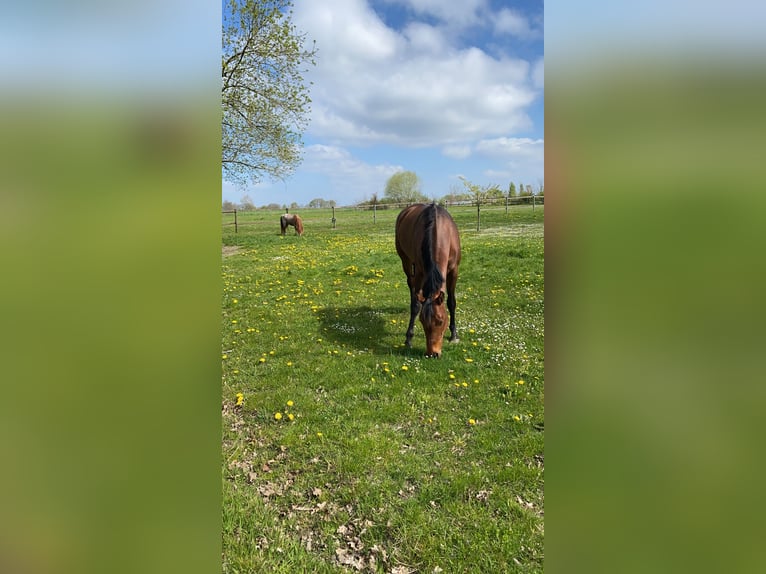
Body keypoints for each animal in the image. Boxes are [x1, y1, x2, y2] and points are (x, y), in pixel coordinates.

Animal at [395, 202, 461, 358]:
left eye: (441, 321)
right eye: (422, 321)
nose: (432, 353)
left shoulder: (454, 270)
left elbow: (451, 302)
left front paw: (454, 335)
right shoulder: (420, 271)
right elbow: (416, 306)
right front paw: (409, 338)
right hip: (406, 262)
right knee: (411, 285)